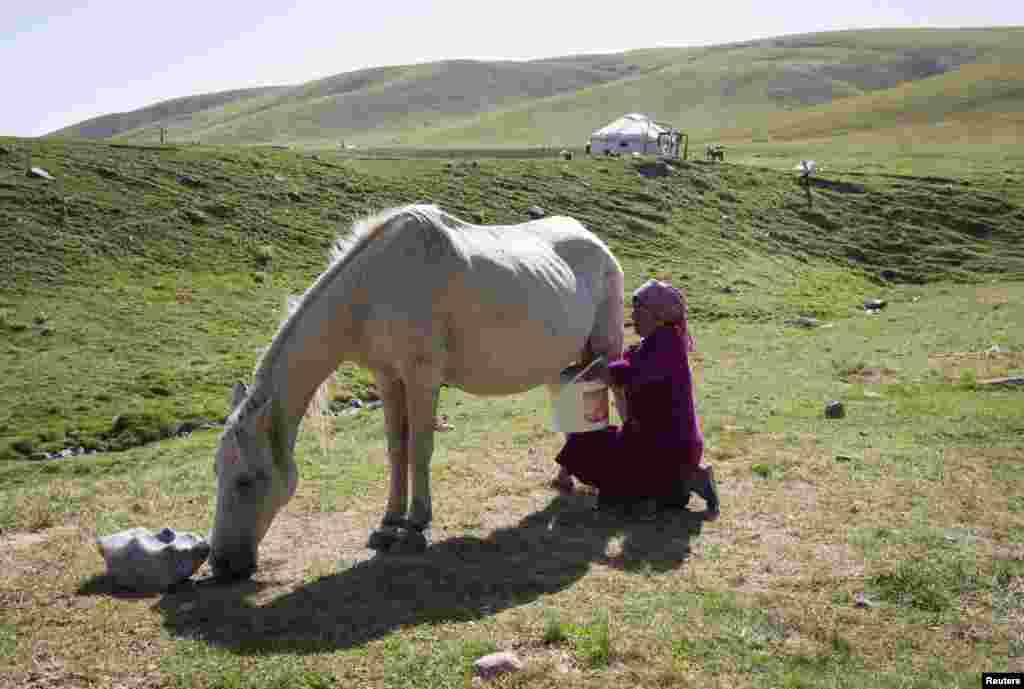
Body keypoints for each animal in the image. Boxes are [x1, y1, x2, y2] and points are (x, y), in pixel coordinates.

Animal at [207, 202, 622, 573]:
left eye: (245, 481)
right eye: (217, 473)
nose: (221, 564)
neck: (372, 290)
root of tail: (595, 240)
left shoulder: (422, 378)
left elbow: (419, 448)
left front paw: (416, 525)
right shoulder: (388, 377)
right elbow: (396, 448)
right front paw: (389, 522)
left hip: (609, 346)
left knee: (618, 396)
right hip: (572, 360)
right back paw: (564, 478)